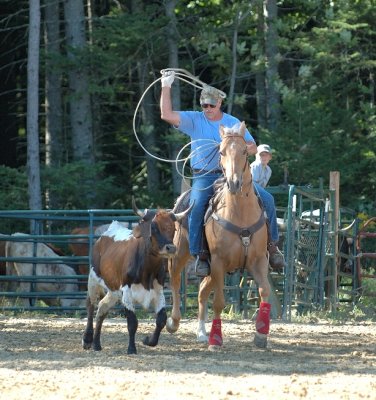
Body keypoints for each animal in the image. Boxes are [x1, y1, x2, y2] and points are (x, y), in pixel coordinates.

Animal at [82, 199, 192, 354]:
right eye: (154, 227)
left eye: (173, 229)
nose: (171, 248)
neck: (147, 269)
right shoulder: (127, 291)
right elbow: (132, 322)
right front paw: (131, 348)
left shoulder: (158, 290)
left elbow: (161, 319)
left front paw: (149, 341)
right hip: (93, 279)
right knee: (91, 305)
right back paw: (87, 339)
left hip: (114, 290)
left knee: (102, 307)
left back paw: (97, 344)